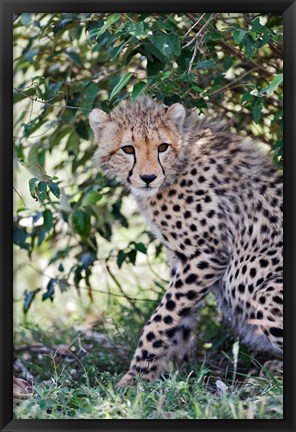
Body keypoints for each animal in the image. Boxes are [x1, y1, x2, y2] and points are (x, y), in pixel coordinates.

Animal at [89, 96, 284, 386]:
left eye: (162, 146)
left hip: (264, 291)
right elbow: (179, 317)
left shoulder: (206, 255)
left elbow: (161, 318)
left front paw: (136, 377)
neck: (178, 164)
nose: (148, 178)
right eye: (128, 149)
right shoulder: (183, 259)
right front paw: (172, 371)